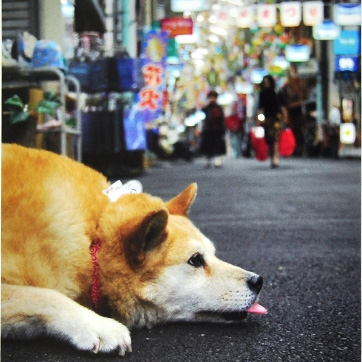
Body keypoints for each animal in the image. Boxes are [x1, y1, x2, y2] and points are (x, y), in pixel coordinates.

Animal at [0, 143, 266, 354]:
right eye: (195, 260)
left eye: (212, 253)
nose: (258, 281)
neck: (93, 247)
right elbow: (45, 295)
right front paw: (98, 325)